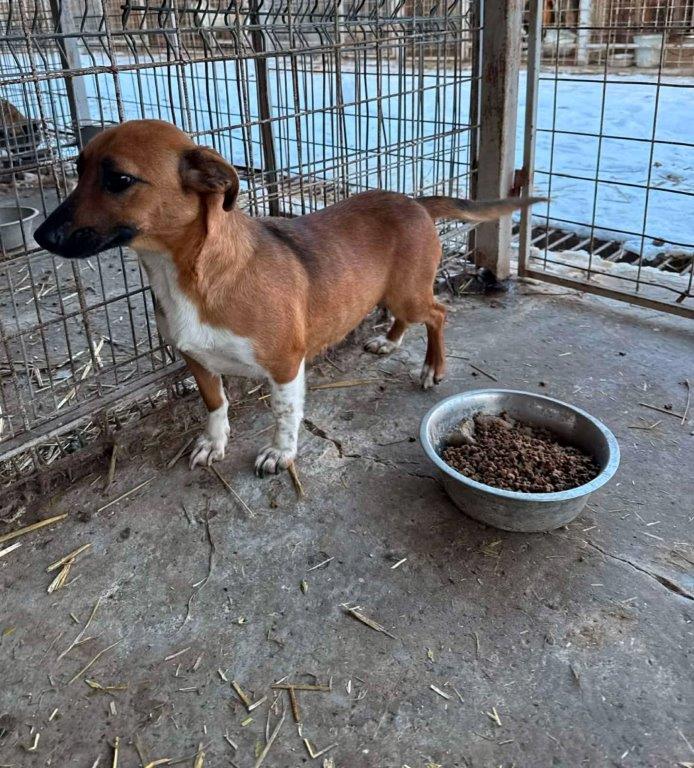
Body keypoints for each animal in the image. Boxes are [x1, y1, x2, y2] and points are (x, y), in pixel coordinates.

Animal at [34, 119, 542, 476]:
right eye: (78, 169)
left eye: (119, 180)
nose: (41, 236)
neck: (188, 273)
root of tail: (414, 201)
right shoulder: (195, 359)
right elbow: (215, 404)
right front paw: (214, 442)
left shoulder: (284, 364)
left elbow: (283, 413)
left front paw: (281, 453)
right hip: (395, 293)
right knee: (410, 317)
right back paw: (390, 341)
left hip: (409, 293)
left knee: (438, 313)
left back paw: (432, 367)